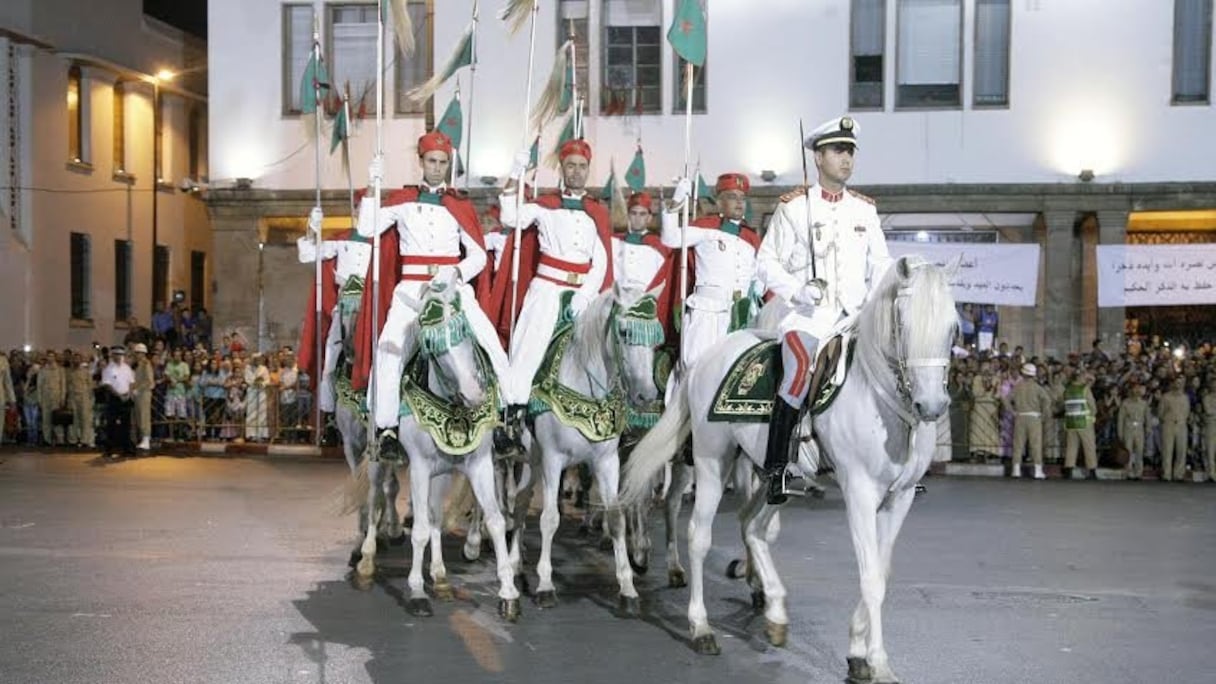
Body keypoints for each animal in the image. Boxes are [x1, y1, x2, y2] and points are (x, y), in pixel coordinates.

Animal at [355, 273, 520, 620]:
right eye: (431, 346)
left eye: (465, 331)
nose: (473, 393)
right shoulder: (419, 467)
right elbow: (418, 529)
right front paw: (417, 592)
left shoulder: (478, 464)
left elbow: (496, 521)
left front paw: (509, 594)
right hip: (380, 459)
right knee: (376, 499)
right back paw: (366, 563)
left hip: (442, 472)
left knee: (433, 514)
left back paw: (441, 576)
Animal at [505, 282, 666, 613]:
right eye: (625, 332)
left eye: (657, 338)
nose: (646, 396)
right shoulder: (553, 460)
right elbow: (550, 519)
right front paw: (545, 585)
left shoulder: (607, 461)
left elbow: (617, 518)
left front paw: (628, 588)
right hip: (533, 458)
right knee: (522, 504)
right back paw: (515, 564)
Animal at [622, 255, 953, 681]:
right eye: (904, 322)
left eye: (952, 327)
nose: (932, 406)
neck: (880, 399)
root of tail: (705, 357)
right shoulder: (860, 494)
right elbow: (871, 579)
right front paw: (878, 663)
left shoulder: (901, 498)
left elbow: (880, 571)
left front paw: (857, 651)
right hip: (712, 461)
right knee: (698, 534)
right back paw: (701, 626)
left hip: (770, 475)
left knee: (752, 526)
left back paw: (775, 609)